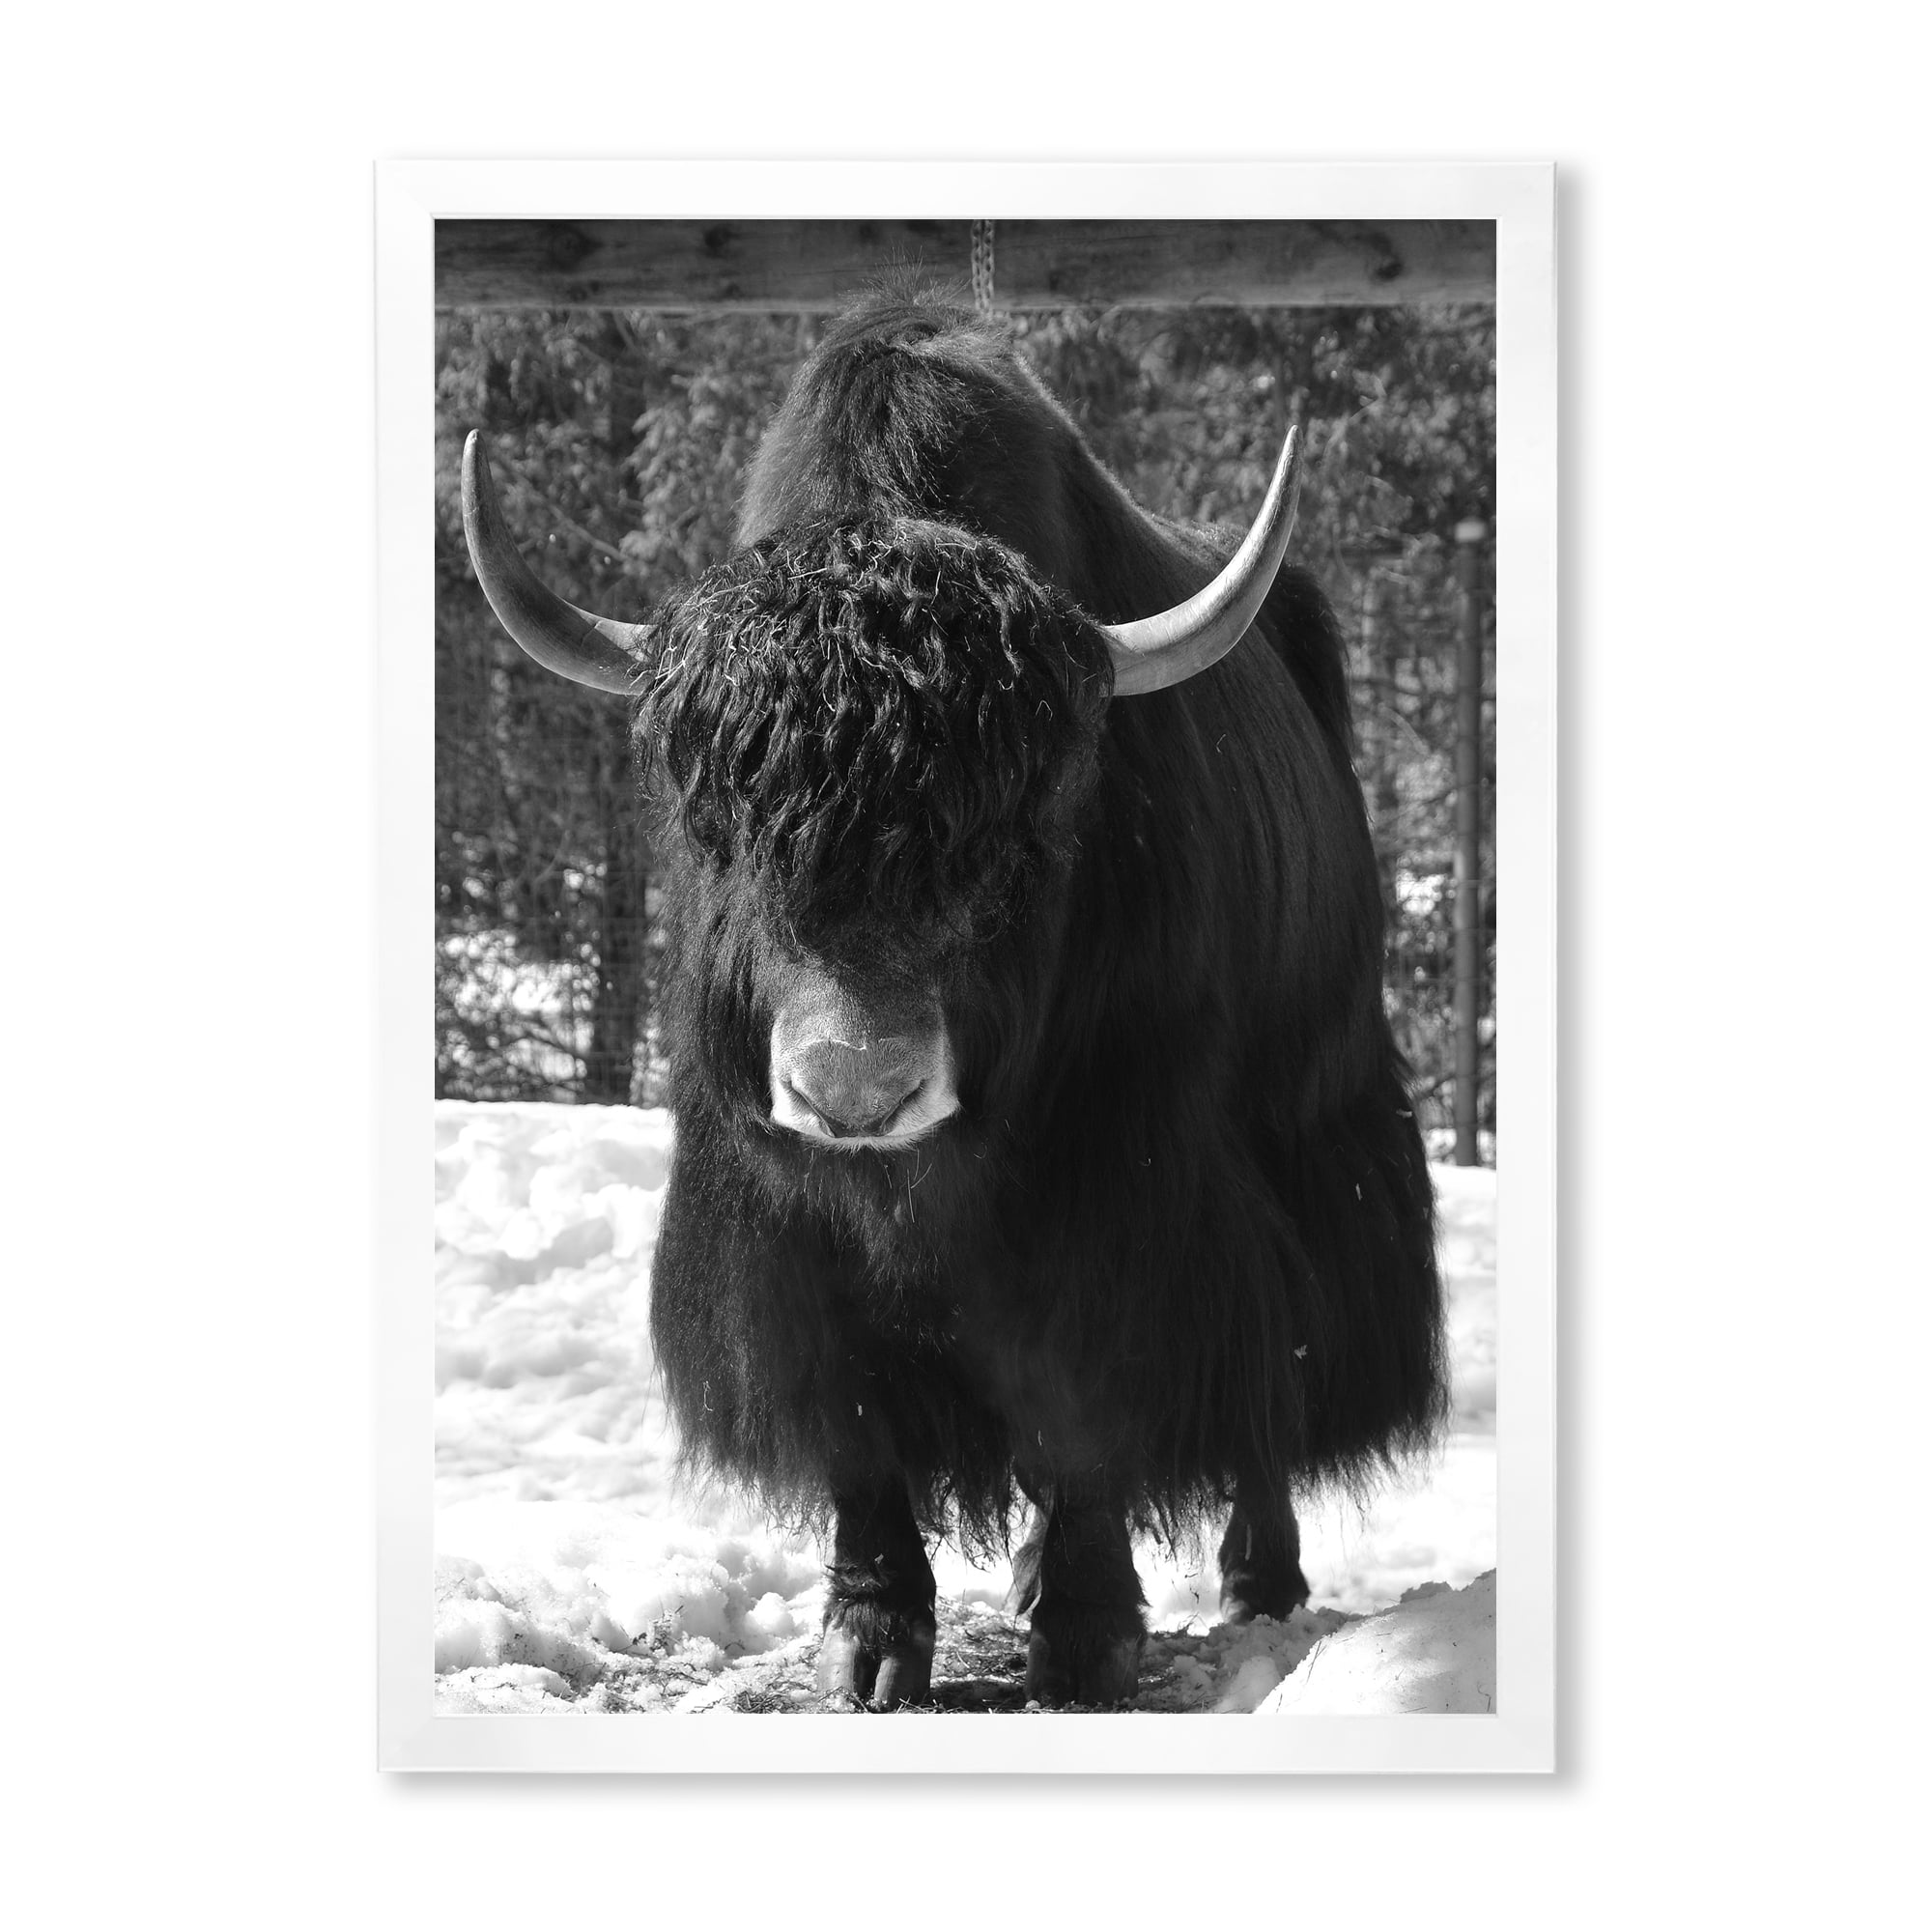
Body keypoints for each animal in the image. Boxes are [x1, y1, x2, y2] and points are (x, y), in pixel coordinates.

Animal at [459, 285, 1447, 1708]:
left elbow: (1089, 1400)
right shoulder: (775, 1223)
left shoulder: (1124, 1191)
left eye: (1018, 833)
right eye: (720, 826)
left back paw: (1260, 1581)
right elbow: (854, 1415)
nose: (854, 1091)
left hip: (1313, 1124)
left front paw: (1084, 1639)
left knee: (1277, 1366)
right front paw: (870, 1640)